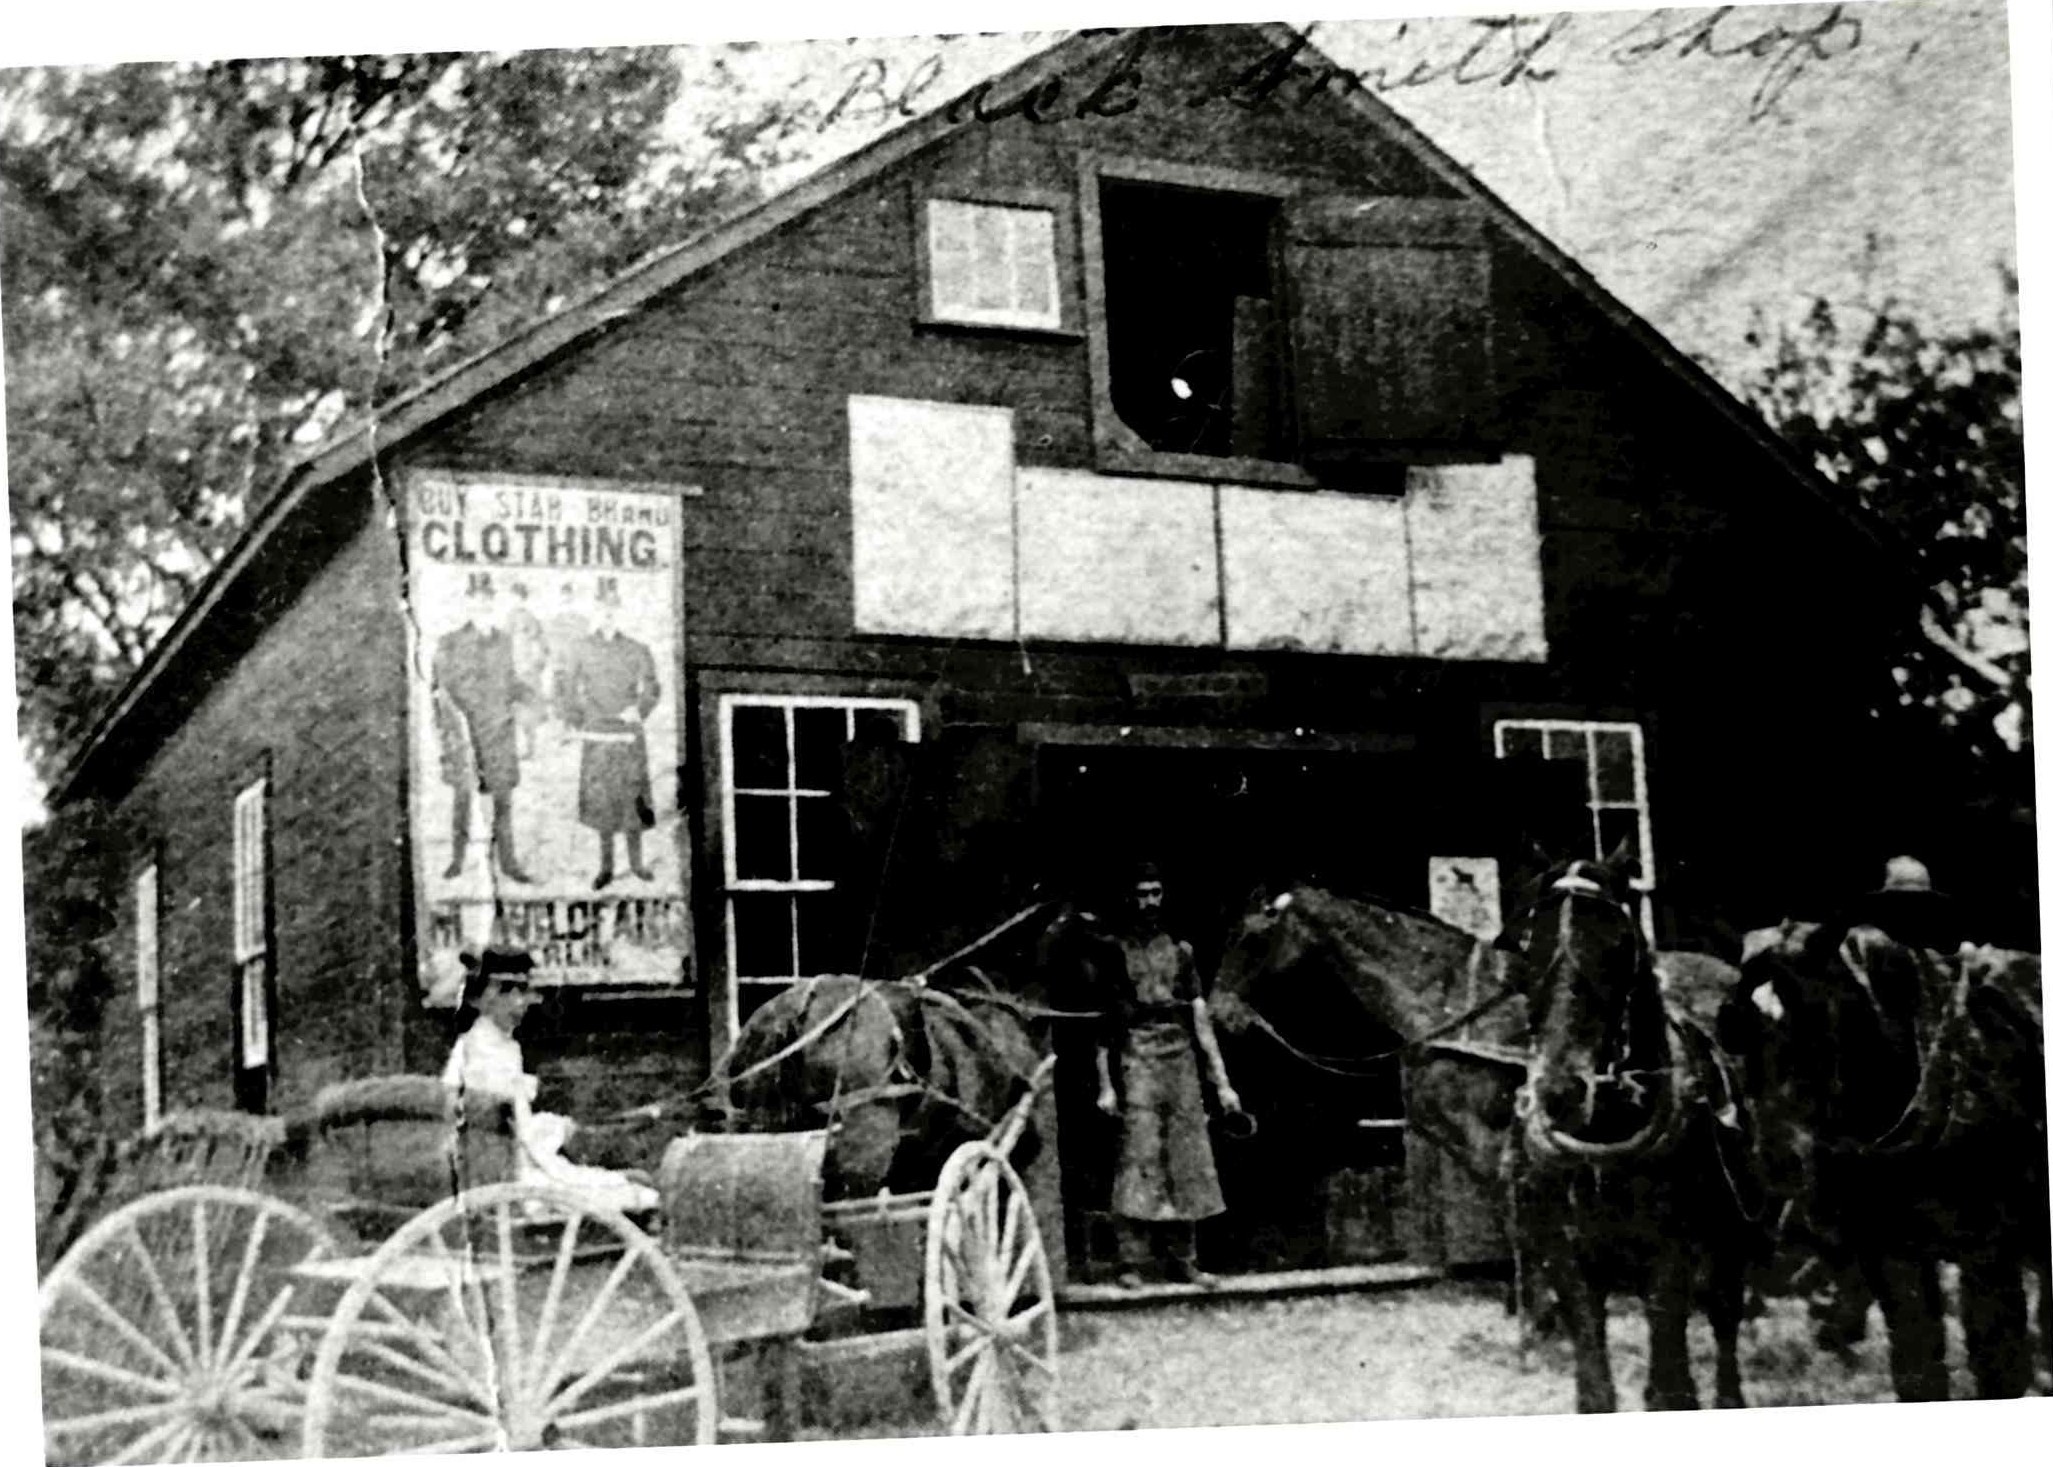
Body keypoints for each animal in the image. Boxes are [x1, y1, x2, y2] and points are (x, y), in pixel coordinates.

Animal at [1502, 853, 1757, 1419]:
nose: (1560, 1090)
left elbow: (1670, 1389)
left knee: (1725, 1312)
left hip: (1729, 1230)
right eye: (1530, 945)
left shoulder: (1671, 1252)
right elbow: (1596, 1386)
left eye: (1618, 942)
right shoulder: (1567, 1256)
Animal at [1724, 919, 2044, 1403]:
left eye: (1817, 1027)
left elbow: (1998, 1371)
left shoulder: (1988, 1256)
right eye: (1741, 1037)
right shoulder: (1893, 1256)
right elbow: (1918, 1370)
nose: (1778, 1165)